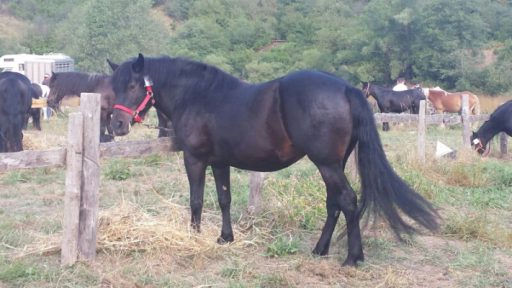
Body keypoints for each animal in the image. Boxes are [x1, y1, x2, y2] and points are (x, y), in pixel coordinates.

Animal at [108, 53, 440, 266]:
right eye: (113, 87)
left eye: (133, 86)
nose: (116, 125)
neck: (199, 96)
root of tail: (345, 88)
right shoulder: (219, 162)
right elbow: (224, 199)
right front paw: (225, 238)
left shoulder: (195, 159)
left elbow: (196, 200)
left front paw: (194, 237)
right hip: (334, 164)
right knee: (334, 202)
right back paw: (320, 249)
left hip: (327, 164)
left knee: (346, 200)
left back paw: (352, 257)